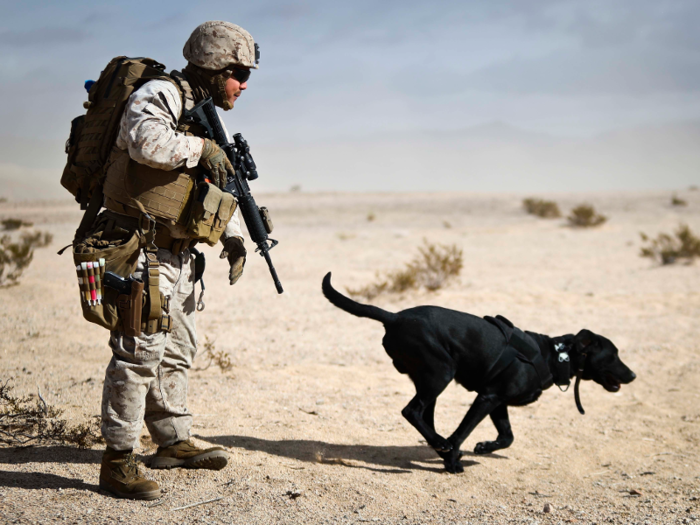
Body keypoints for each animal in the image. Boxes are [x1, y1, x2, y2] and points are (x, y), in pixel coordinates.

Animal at [322, 272, 636, 472]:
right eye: (614, 355)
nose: (632, 375)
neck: (553, 355)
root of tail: (395, 317)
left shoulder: (497, 401)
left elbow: (507, 436)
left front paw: (484, 447)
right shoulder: (486, 398)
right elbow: (462, 432)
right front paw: (453, 459)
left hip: (429, 380)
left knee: (424, 416)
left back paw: (439, 446)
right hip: (441, 373)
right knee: (412, 411)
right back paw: (442, 447)